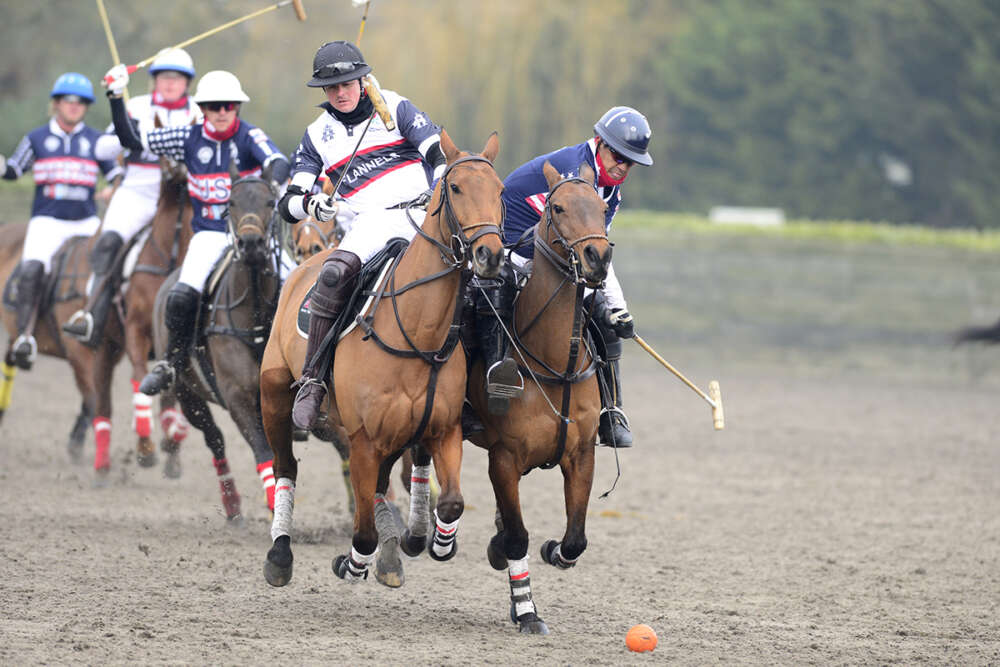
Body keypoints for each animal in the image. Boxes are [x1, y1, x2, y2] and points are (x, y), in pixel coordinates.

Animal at [152, 168, 286, 520]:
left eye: (271, 202)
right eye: (231, 202)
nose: (251, 244)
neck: (256, 316)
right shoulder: (238, 396)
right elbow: (264, 453)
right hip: (188, 394)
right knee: (215, 440)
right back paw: (232, 505)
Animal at [262, 132, 504, 588]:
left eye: (500, 190)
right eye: (456, 187)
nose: (491, 255)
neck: (415, 332)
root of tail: (308, 263)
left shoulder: (443, 429)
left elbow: (451, 502)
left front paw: (433, 542)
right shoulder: (363, 439)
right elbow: (364, 530)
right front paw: (354, 561)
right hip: (274, 395)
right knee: (286, 466)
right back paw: (280, 554)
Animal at [466, 160, 612, 632]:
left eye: (602, 206)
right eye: (558, 207)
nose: (597, 257)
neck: (552, 363)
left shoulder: (581, 453)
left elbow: (575, 539)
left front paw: (552, 552)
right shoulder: (504, 457)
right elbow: (516, 536)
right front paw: (527, 610)